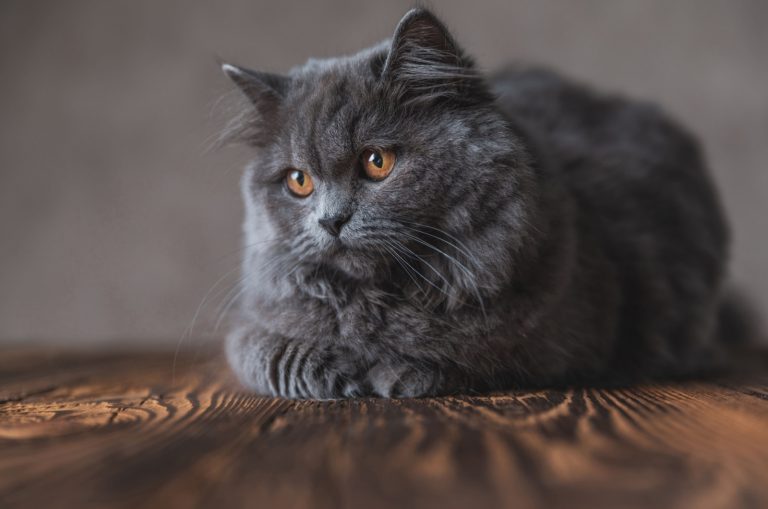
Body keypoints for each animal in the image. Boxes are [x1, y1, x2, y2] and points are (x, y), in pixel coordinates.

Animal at [220, 5, 732, 398]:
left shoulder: (554, 337)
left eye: (377, 162)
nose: (331, 221)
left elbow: (467, 349)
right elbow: (262, 350)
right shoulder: (253, 318)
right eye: (299, 181)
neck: (383, 295)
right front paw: (335, 372)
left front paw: (395, 372)